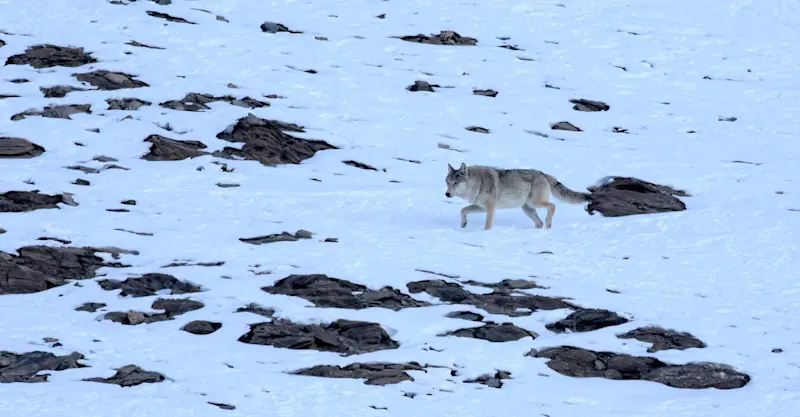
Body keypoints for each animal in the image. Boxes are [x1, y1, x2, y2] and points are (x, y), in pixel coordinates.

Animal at [444, 163, 590, 230]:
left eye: (456, 183)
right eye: (448, 182)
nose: (447, 194)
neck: (478, 183)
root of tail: (543, 173)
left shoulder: (490, 208)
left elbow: (487, 225)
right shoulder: (481, 207)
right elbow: (463, 210)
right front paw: (463, 224)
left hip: (534, 203)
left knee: (552, 206)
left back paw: (549, 223)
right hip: (527, 209)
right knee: (539, 222)